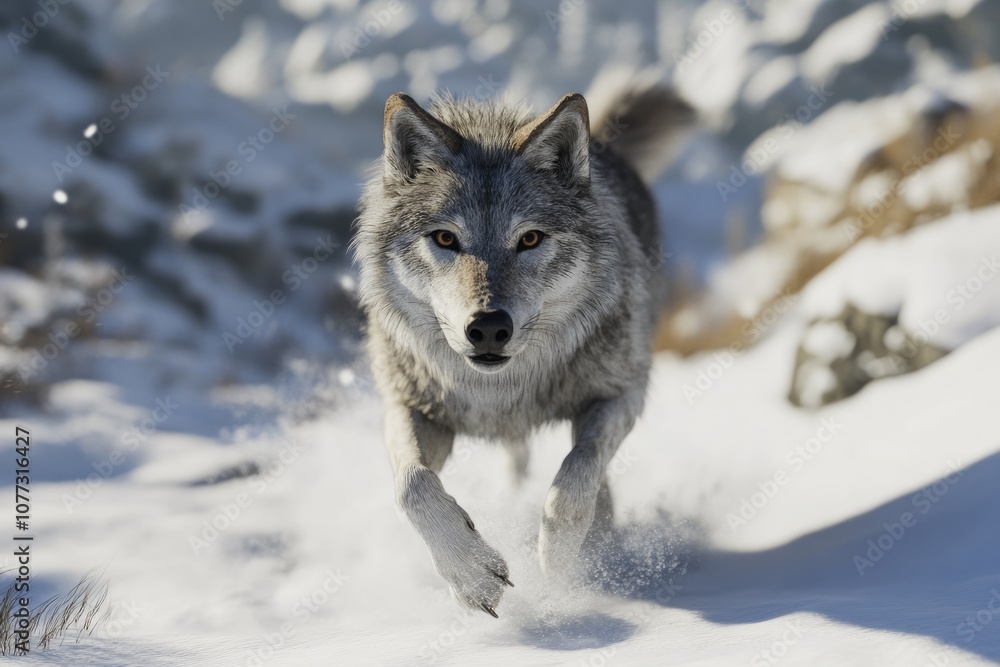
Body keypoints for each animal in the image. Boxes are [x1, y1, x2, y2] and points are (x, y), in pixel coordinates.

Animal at [353, 85, 692, 617]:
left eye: (530, 238)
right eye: (445, 238)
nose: (489, 328)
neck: (502, 390)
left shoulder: (622, 394)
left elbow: (574, 479)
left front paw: (559, 564)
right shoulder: (411, 405)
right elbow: (413, 486)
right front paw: (472, 576)